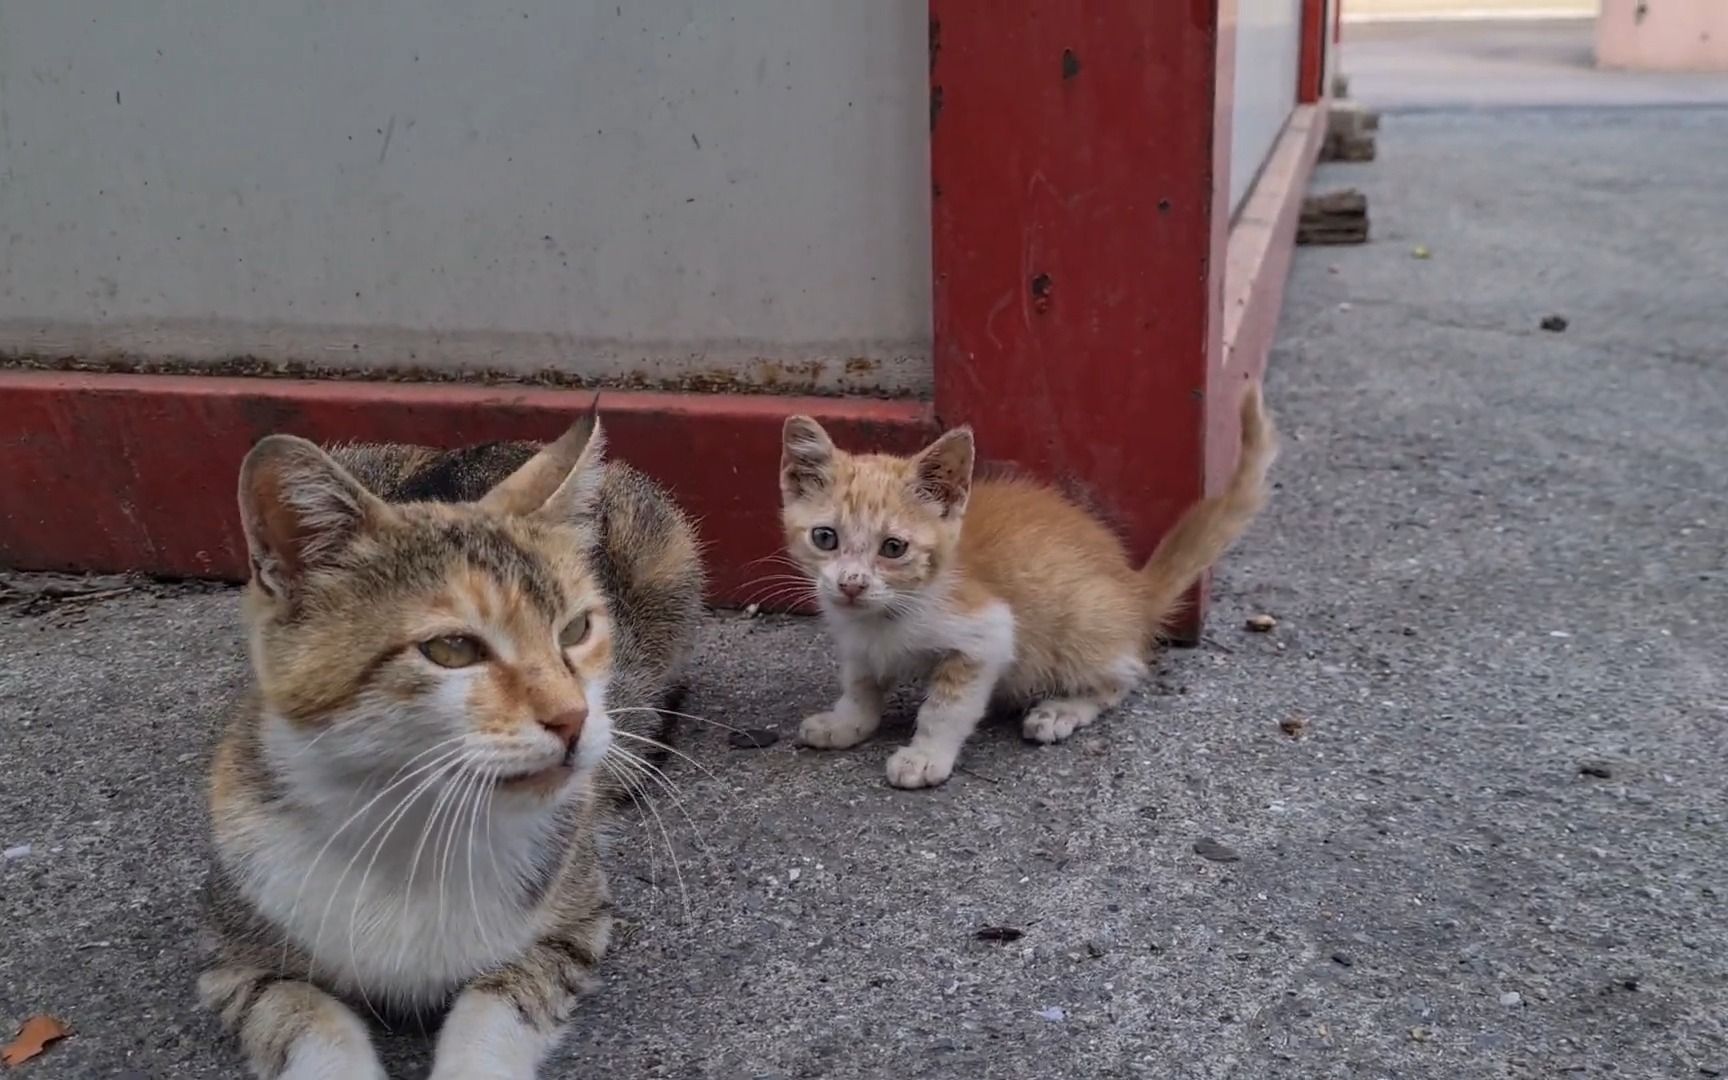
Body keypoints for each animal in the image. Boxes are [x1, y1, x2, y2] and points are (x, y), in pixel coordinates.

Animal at [190, 406, 701, 1078]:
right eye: (452, 649)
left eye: (576, 629)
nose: (573, 717)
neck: (419, 828)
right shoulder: (236, 959)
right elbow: (306, 1020)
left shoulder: (572, 923)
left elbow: (497, 1006)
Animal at [777, 383, 1278, 787]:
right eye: (825, 538)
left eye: (894, 548)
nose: (852, 584)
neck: (886, 615)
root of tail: (1136, 590)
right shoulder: (857, 639)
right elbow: (861, 682)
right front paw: (847, 721)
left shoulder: (988, 633)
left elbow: (947, 705)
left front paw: (925, 755)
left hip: (1081, 621)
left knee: (1125, 674)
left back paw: (1062, 709)